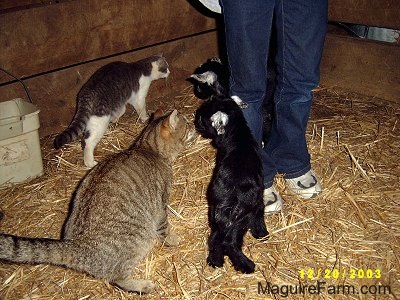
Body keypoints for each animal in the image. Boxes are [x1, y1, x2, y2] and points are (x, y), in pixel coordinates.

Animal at [0, 109, 196, 292]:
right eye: (187, 125)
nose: (194, 124)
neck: (148, 148)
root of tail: (77, 245)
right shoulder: (161, 205)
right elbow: (164, 228)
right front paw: (172, 240)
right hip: (138, 239)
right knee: (118, 278)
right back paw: (143, 286)